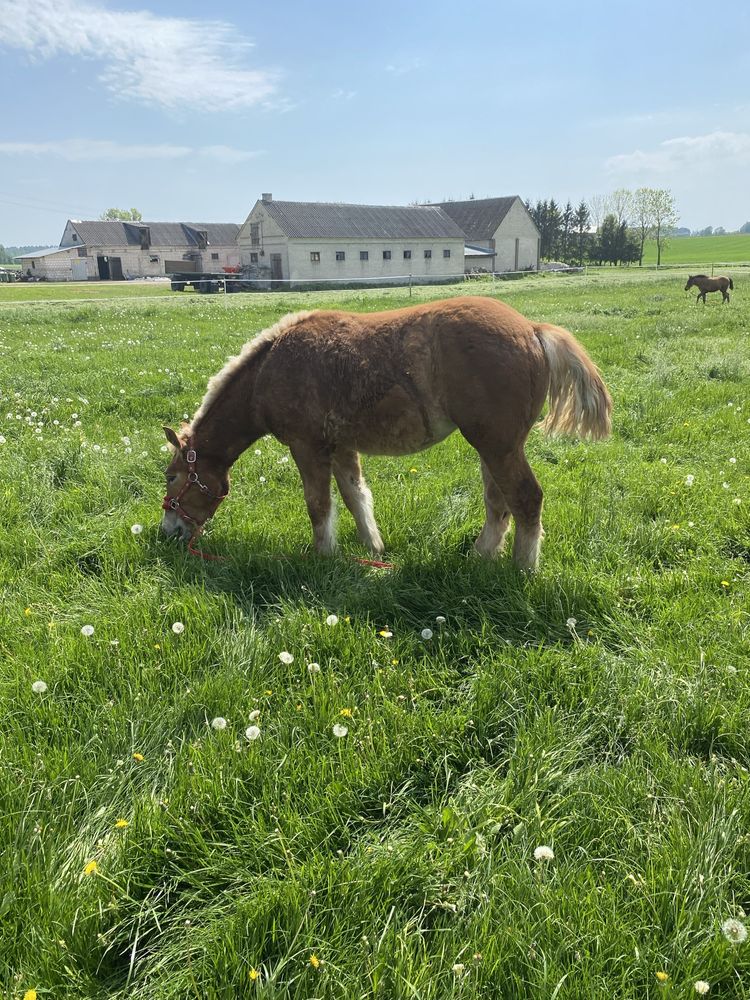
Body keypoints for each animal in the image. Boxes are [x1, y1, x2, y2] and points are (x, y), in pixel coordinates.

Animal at [160, 294, 612, 572]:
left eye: (171, 477)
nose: (168, 533)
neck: (270, 369)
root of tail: (532, 329)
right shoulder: (340, 446)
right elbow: (355, 496)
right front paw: (372, 548)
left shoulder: (307, 446)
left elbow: (318, 504)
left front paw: (324, 556)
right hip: (492, 447)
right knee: (498, 503)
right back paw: (482, 556)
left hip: (499, 446)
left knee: (525, 499)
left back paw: (522, 569)